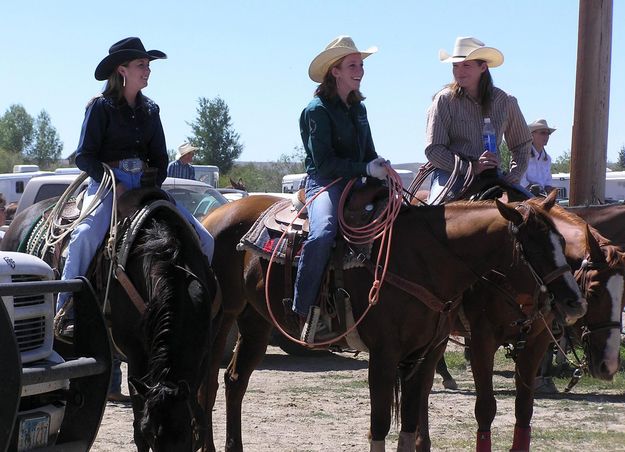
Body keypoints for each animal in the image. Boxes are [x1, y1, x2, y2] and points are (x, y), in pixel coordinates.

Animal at [1, 188, 221, 452]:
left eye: (184, 438)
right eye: (151, 435)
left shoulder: (205, 352)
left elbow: (200, 412)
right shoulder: (136, 356)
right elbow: (137, 425)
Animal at [199, 192, 584, 450]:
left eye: (561, 241)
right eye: (532, 248)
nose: (574, 301)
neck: (422, 260)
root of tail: (212, 217)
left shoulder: (424, 355)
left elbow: (411, 422)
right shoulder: (390, 355)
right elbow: (382, 425)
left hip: (256, 322)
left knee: (234, 381)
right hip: (221, 318)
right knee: (208, 384)